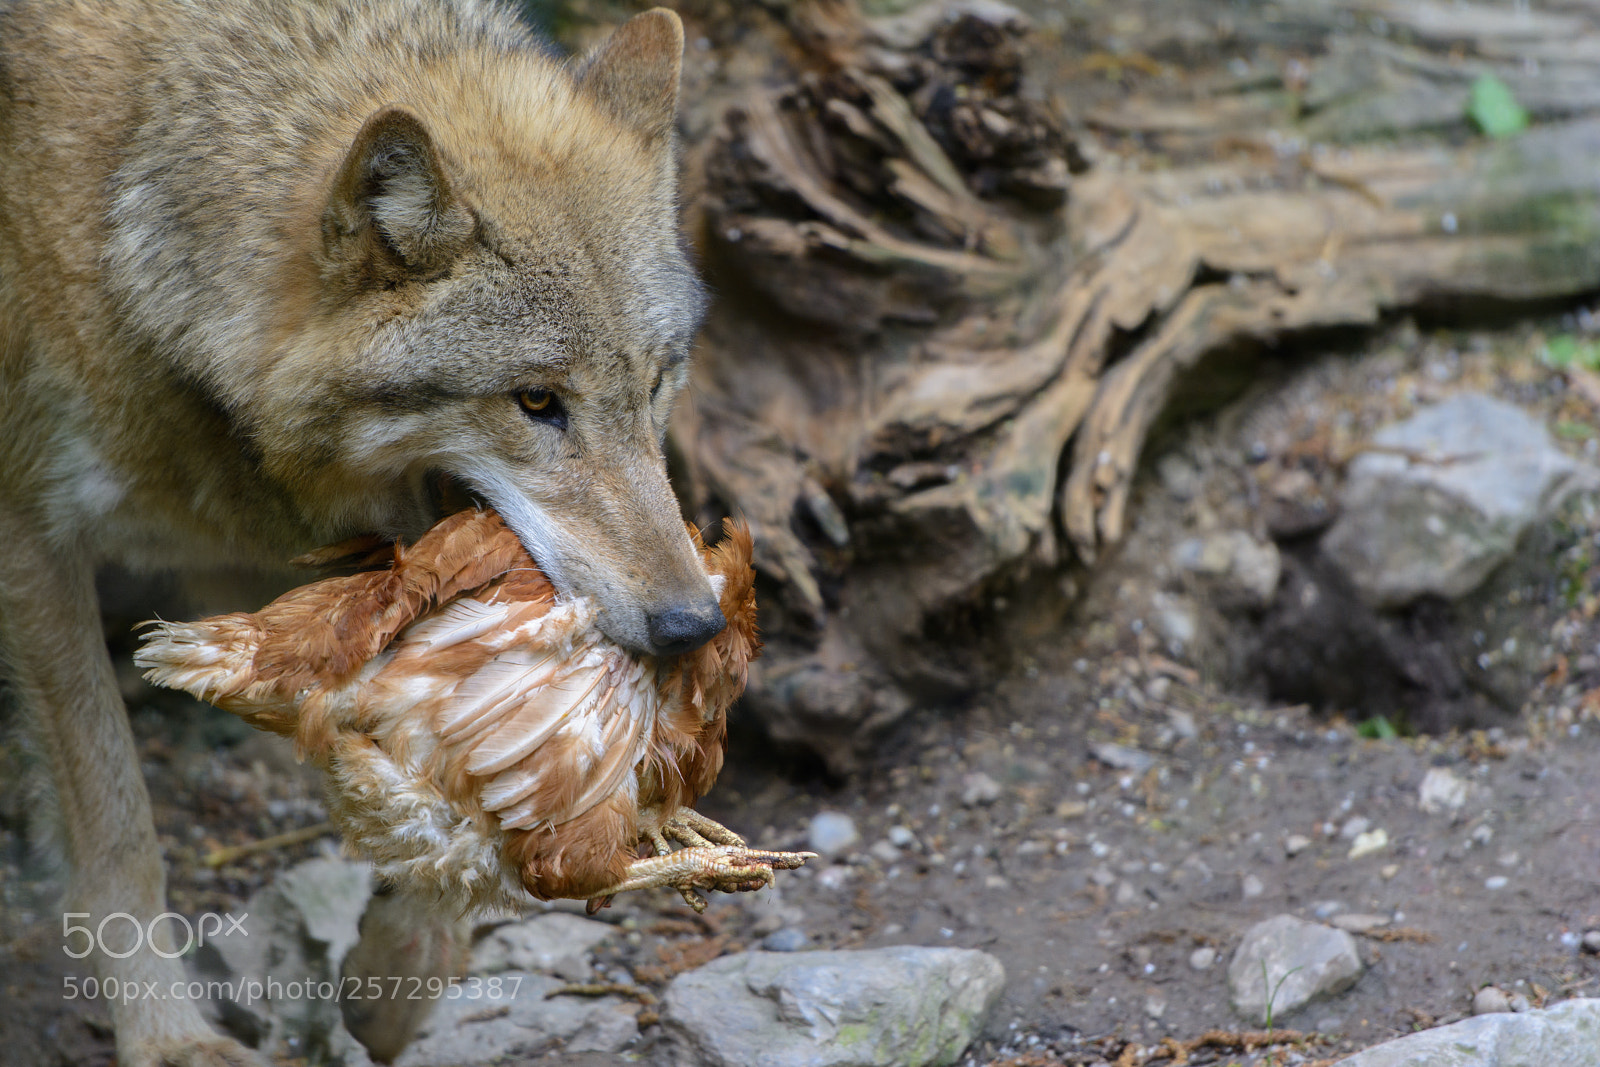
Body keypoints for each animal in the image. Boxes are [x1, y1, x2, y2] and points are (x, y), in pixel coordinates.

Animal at [0, 1, 718, 1063]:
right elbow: (117, 823)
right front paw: (169, 1038)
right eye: (536, 400)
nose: (693, 625)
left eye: (659, 379)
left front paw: (401, 972)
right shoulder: (32, 539)